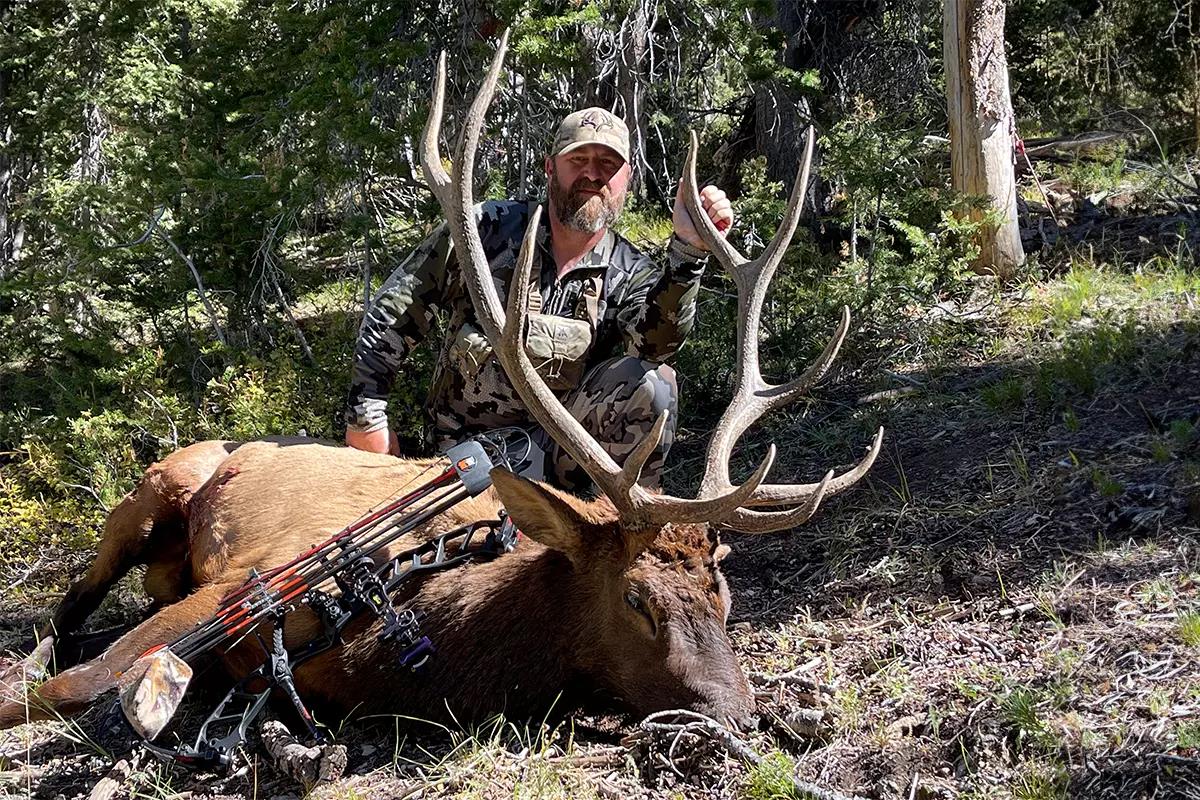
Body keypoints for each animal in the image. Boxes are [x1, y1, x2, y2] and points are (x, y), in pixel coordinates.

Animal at [0, 37, 883, 738]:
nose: (741, 715)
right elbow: (66, 686)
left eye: (722, 589)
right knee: (72, 602)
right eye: (638, 600)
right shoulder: (233, 592)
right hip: (152, 491)